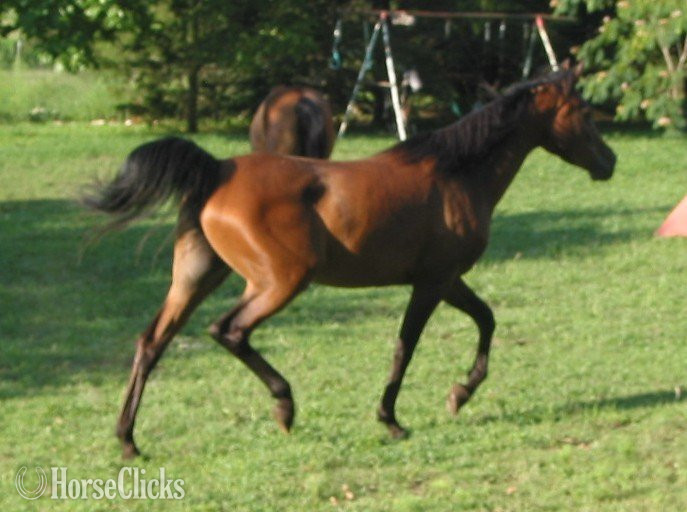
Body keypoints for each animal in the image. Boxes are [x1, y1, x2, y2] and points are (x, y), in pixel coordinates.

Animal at [84, 67, 616, 459]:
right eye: (584, 113)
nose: (609, 162)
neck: (457, 174)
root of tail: (216, 169)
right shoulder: (432, 282)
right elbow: (406, 347)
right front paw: (393, 419)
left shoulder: (446, 280)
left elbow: (485, 320)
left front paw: (459, 394)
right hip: (280, 282)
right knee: (228, 330)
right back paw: (284, 406)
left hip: (197, 277)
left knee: (152, 343)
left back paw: (129, 440)